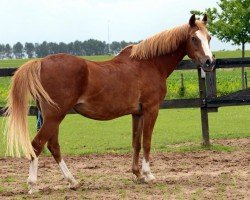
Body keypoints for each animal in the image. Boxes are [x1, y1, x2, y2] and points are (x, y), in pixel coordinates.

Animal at [3, 14, 215, 194]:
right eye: (194, 38)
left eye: (209, 37)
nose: (209, 62)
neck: (149, 64)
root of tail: (40, 62)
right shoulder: (151, 110)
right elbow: (147, 142)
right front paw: (148, 175)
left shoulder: (137, 113)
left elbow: (136, 142)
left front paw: (137, 174)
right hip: (55, 116)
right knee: (37, 145)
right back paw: (33, 185)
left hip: (52, 117)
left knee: (53, 146)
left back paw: (73, 181)